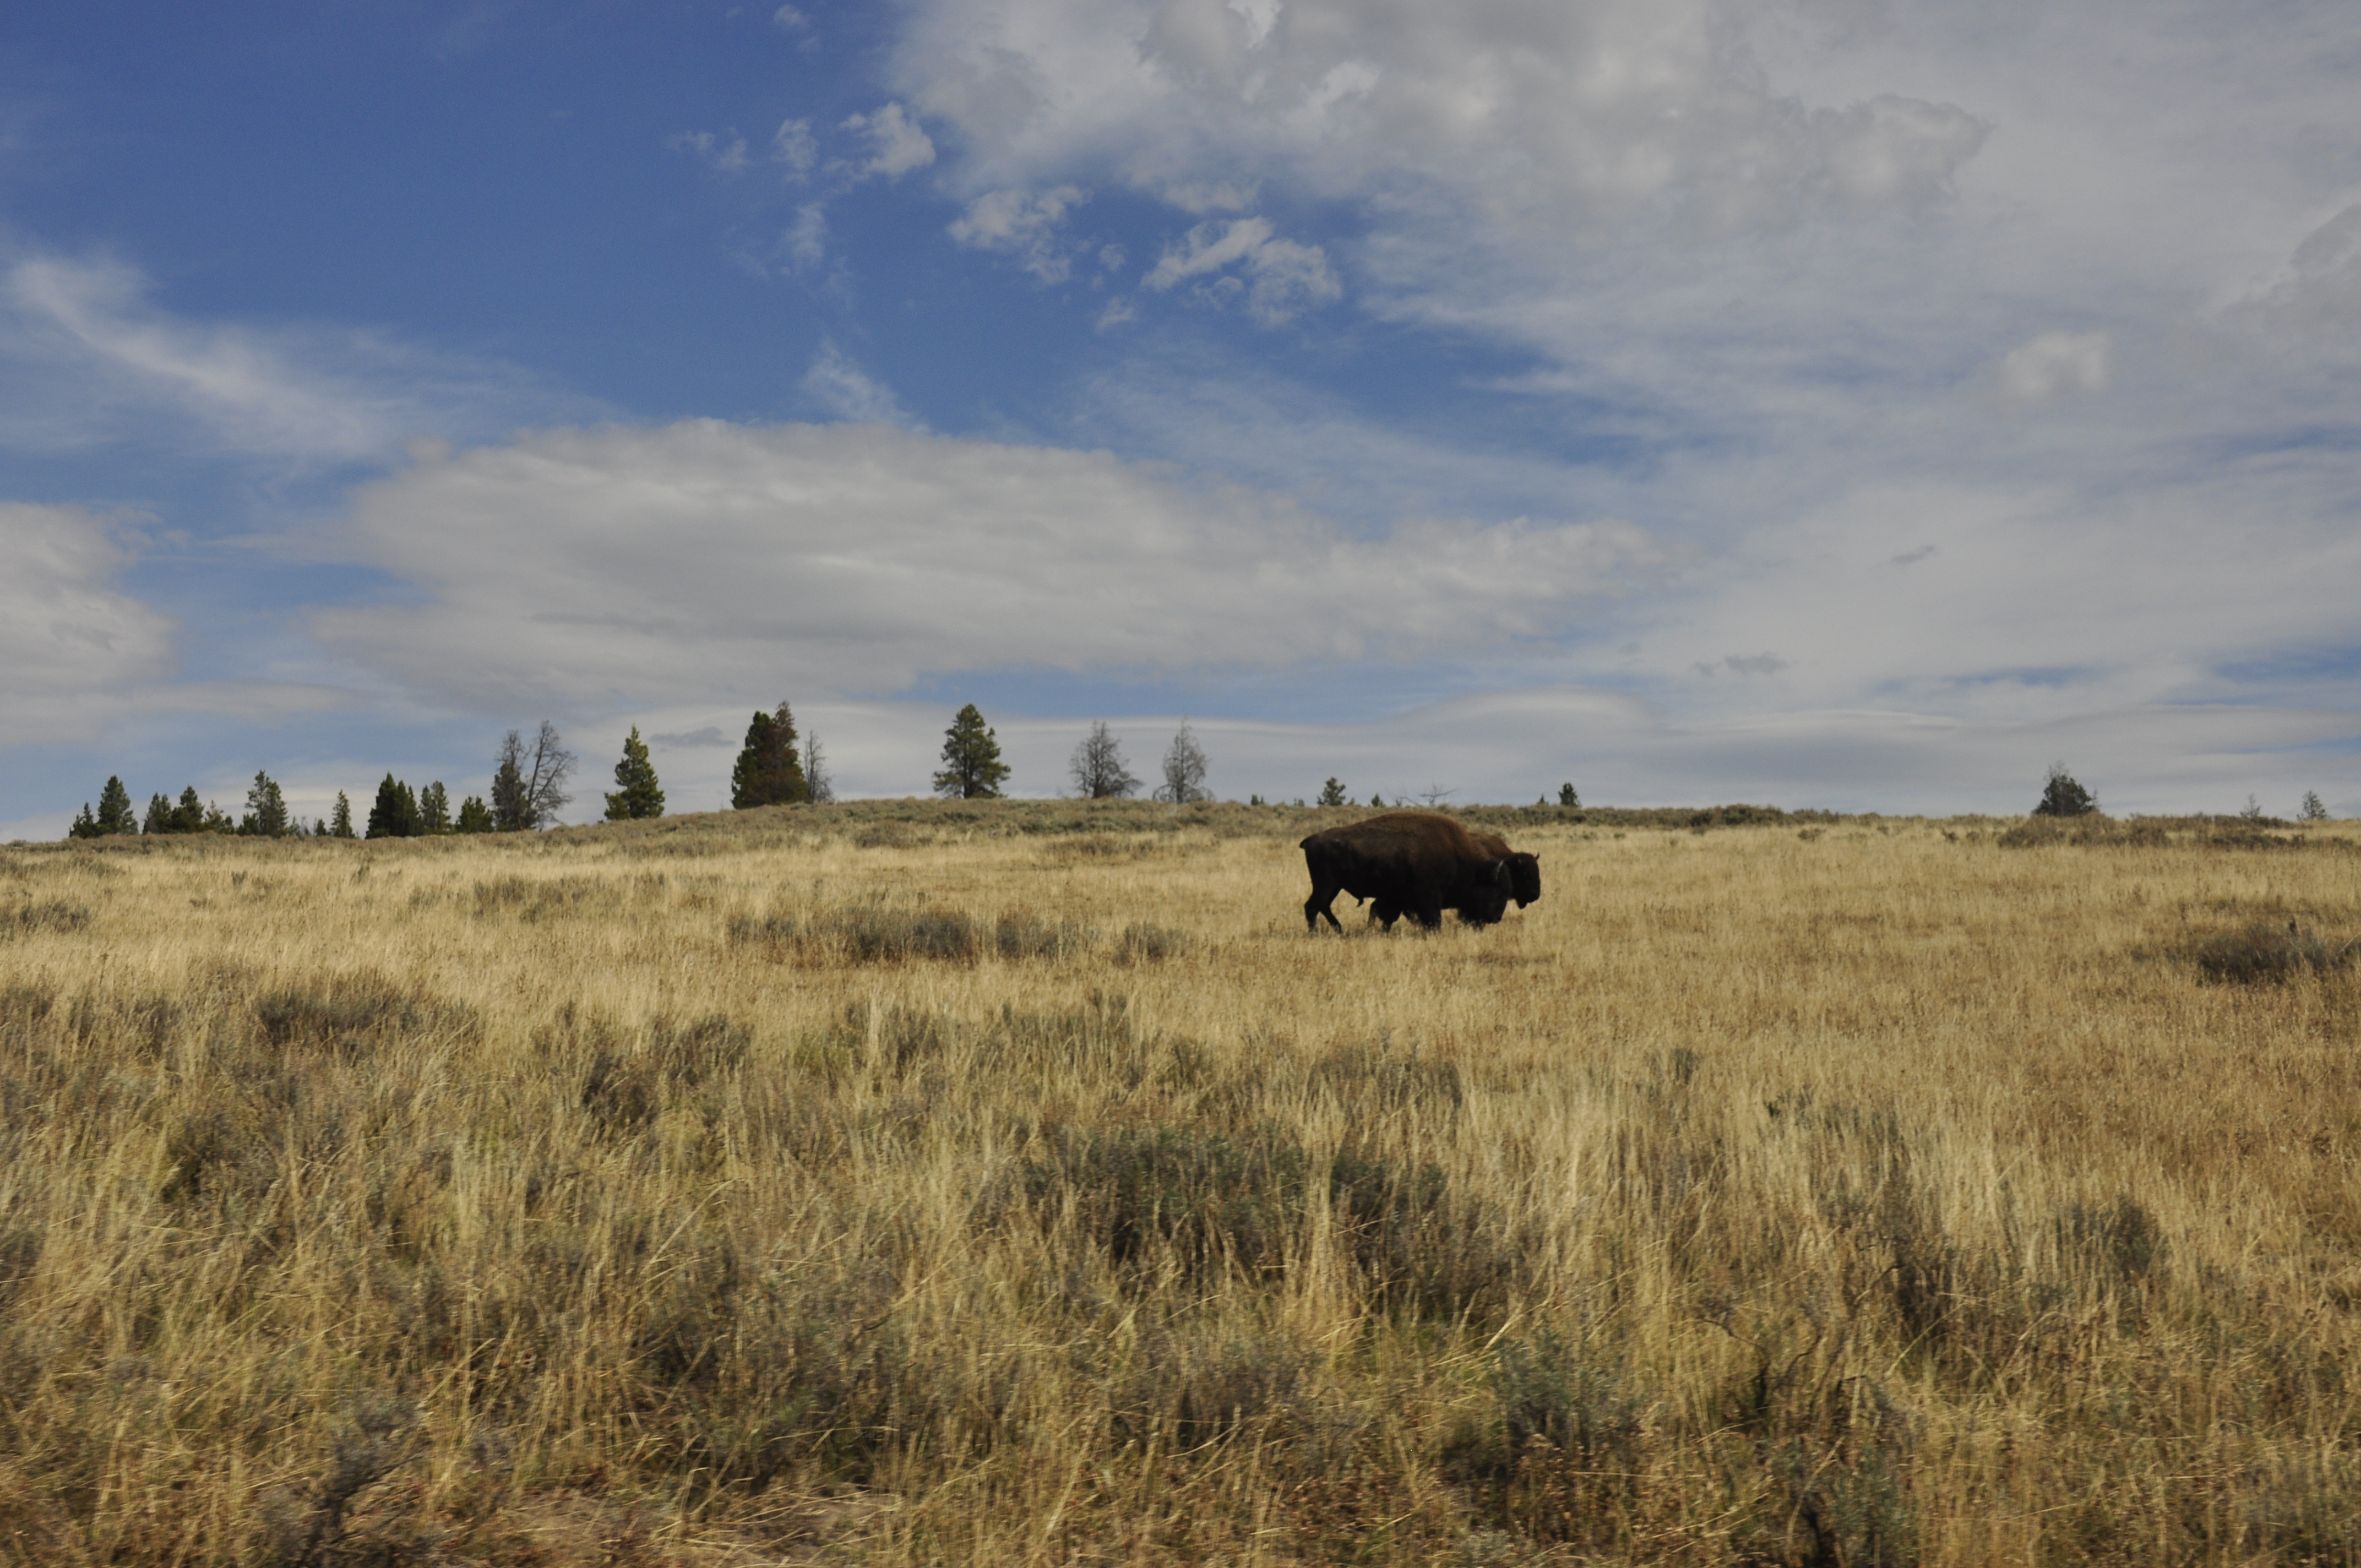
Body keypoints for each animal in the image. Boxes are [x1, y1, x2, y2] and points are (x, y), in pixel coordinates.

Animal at [1303, 807, 1539, 930]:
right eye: (1497, 890)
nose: (1496, 918)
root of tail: (1310, 840)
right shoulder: (1427, 897)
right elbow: (1433, 919)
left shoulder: (1397, 898)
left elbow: (1389, 916)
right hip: (1326, 884)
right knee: (1312, 907)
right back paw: (1318, 934)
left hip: (1333, 887)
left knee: (1323, 907)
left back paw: (1339, 930)